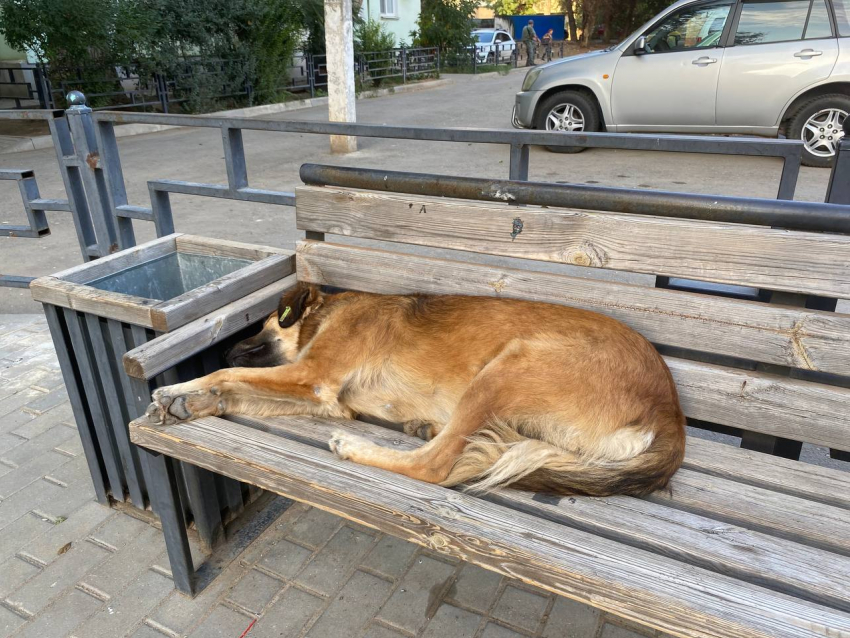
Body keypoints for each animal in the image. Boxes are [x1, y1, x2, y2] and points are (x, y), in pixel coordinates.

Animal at [144, 282, 684, 498]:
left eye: (262, 325)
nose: (225, 349)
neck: (331, 310)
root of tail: (672, 414)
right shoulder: (327, 399)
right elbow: (234, 391)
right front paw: (190, 402)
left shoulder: (312, 376)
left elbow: (227, 380)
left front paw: (182, 386)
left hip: (508, 365)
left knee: (435, 466)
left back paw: (359, 448)